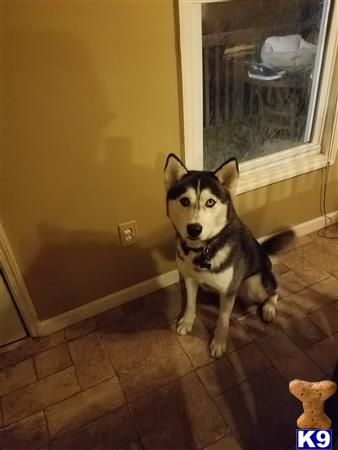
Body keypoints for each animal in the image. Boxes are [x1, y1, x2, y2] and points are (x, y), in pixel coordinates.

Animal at [164, 155, 294, 358]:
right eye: (184, 201)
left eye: (210, 202)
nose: (194, 229)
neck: (203, 249)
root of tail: (267, 260)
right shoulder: (189, 278)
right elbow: (190, 304)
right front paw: (187, 322)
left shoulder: (227, 292)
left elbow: (223, 319)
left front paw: (218, 343)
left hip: (254, 283)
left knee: (275, 290)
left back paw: (269, 308)